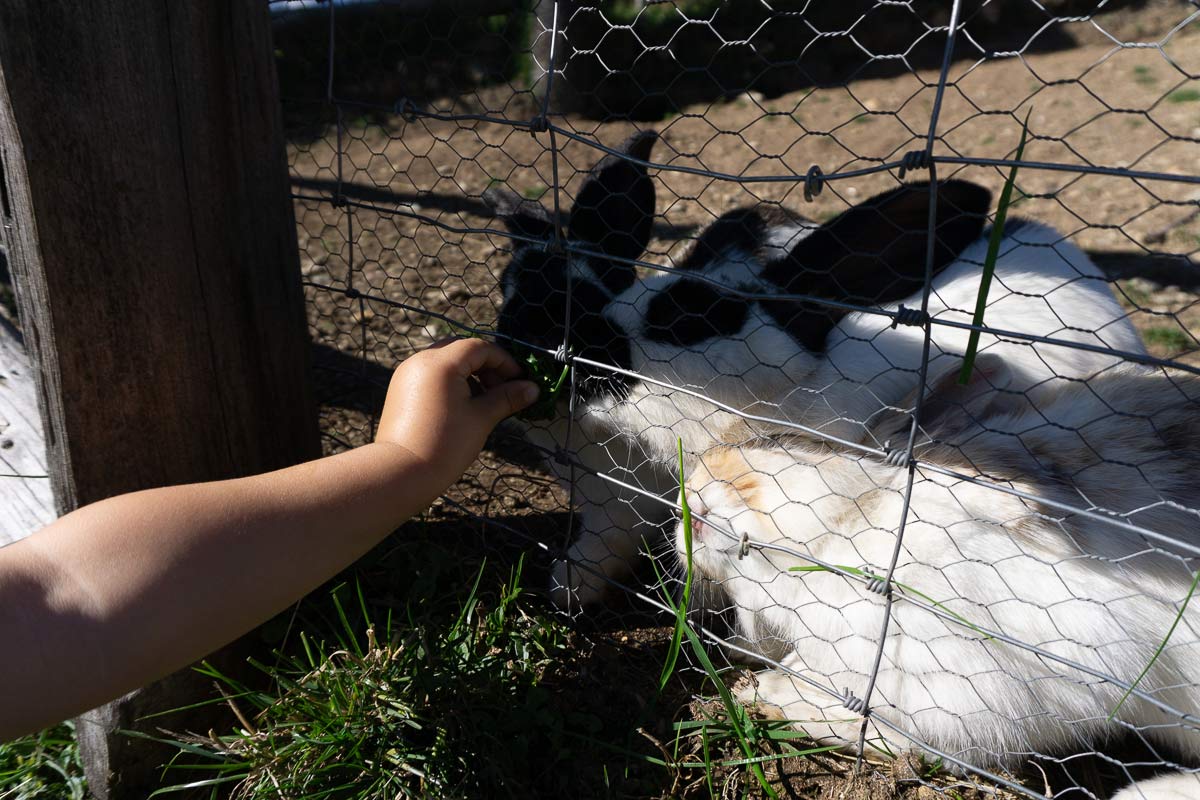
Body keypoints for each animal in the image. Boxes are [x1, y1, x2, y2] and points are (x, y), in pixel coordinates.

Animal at [484, 130, 1142, 606]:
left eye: (693, 315)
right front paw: (566, 592)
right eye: (505, 289)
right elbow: (599, 548)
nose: (579, 340)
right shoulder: (607, 508)